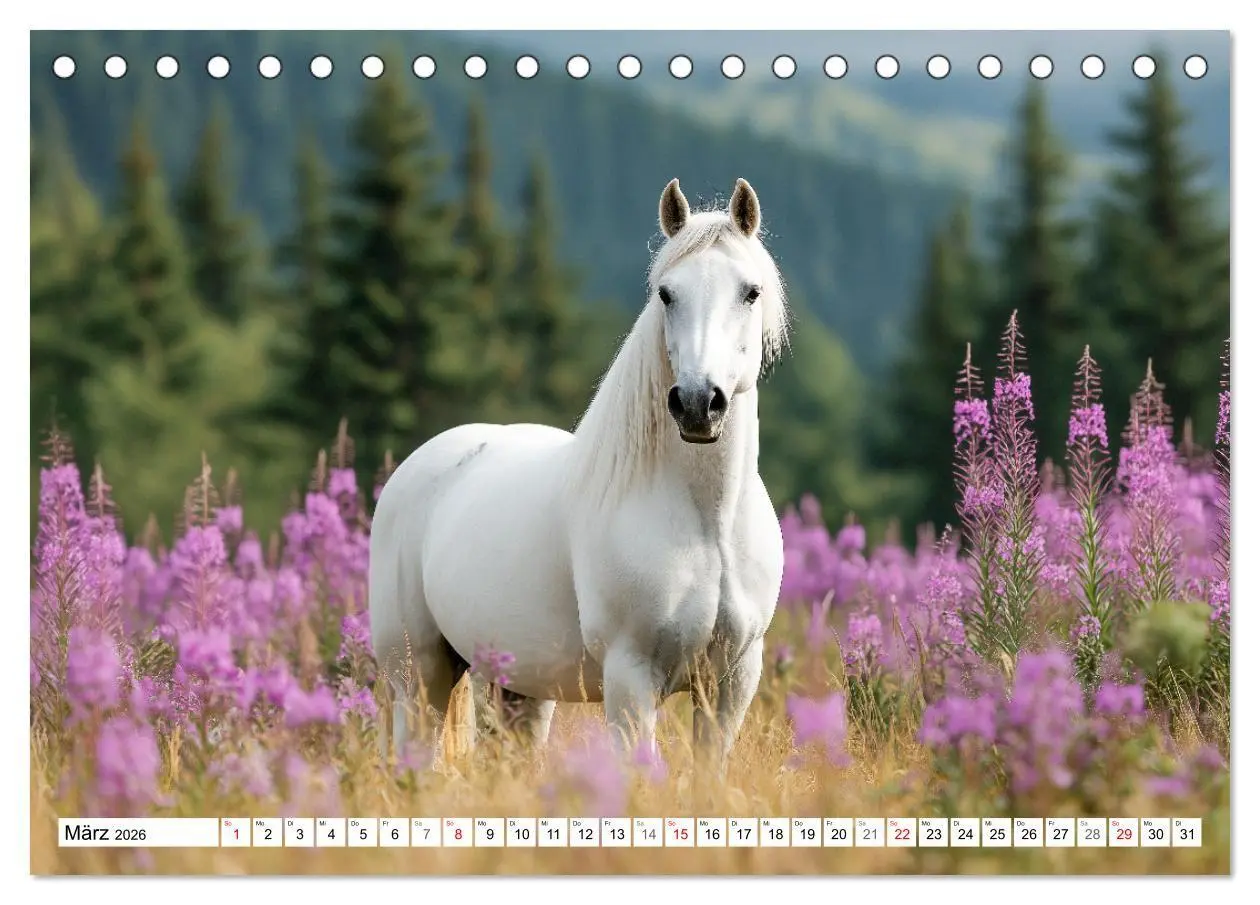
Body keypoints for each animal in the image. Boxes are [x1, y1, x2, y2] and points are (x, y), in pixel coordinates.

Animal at [369, 177, 789, 772]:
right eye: (666, 294)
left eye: (750, 292)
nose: (696, 404)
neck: (707, 525)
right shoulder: (631, 678)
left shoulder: (730, 683)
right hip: (418, 676)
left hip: (519, 688)